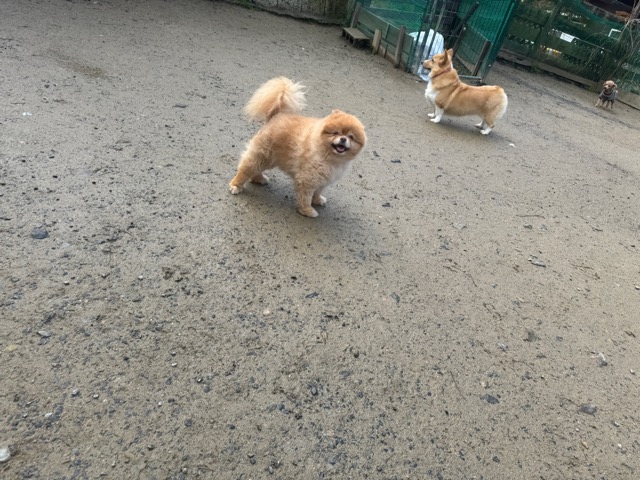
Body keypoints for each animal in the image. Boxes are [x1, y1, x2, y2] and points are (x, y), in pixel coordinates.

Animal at [229, 77, 366, 217]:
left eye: (351, 137)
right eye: (336, 133)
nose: (343, 139)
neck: (329, 157)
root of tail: (275, 116)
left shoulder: (322, 180)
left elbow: (317, 192)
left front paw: (317, 200)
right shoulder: (308, 179)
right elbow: (305, 197)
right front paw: (307, 210)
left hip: (268, 159)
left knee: (255, 169)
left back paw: (259, 178)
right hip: (263, 155)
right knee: (246, 168)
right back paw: (236, 185)